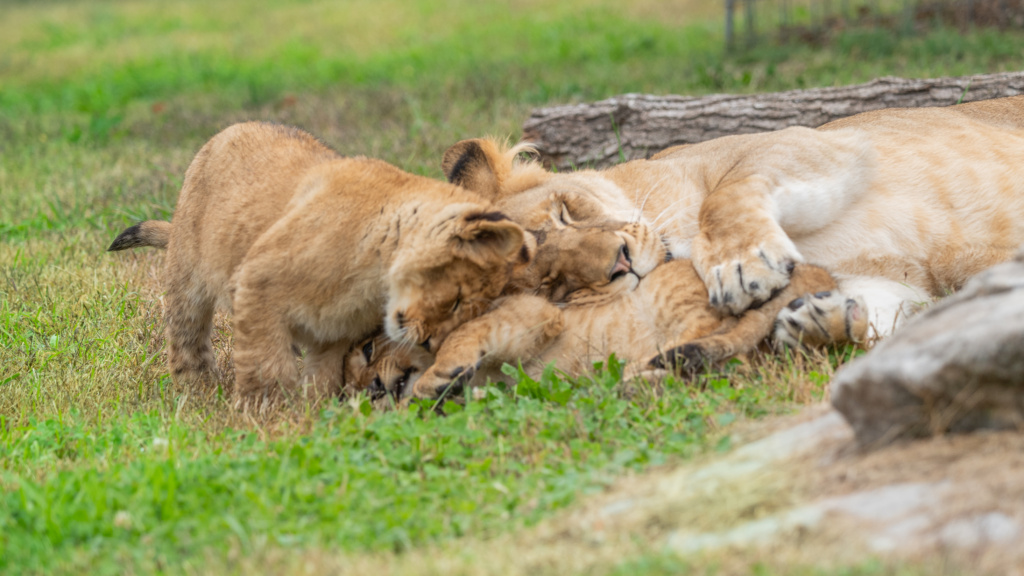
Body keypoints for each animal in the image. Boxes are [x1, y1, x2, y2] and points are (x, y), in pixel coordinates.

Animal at [107, 122, 526, 405]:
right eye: (456, 300)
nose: (427, 342)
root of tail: (228, 129)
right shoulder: (257, 281)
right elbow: (265, 364)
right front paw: (267, 415)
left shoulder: (336, 332)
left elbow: (322, 375)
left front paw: (315, 412)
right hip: (187, 276)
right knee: (187, 336)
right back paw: (197, 390)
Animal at [442, 96, 1024, 343]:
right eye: (551, 285)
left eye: (564, 213)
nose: (621, 265)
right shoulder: (895, 278)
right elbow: (890, 311)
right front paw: (820, 321)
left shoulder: (816, 143)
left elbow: (722, 200)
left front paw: (741, 268)